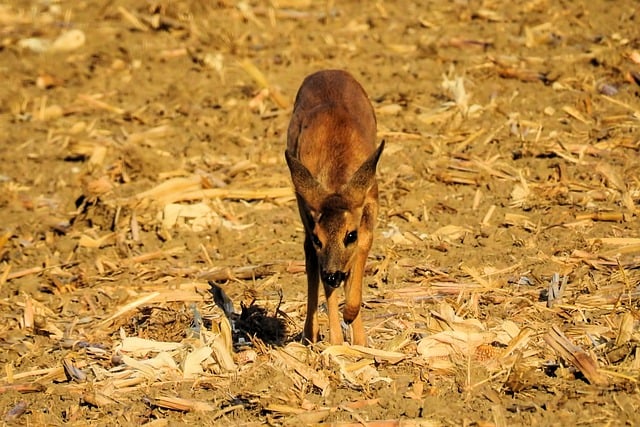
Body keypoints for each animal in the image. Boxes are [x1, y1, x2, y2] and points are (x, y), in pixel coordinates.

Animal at [284, 68, 382, 346]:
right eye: (320, 238)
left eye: (350, 235)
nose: (332, 274)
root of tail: (326, 71)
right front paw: (337, 342)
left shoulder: (369, 207)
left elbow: (359, 259)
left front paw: (356, 331)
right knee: (310, 262)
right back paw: (311, 334)